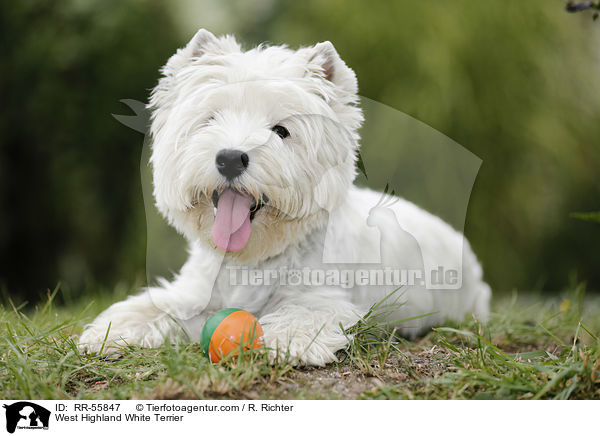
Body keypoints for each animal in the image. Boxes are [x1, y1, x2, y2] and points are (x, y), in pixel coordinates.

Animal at [78, 29, 492, 366]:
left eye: (281, 130)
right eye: (210, 120)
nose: (230, 158)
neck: (252, 258)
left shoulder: (324, 298)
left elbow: (304, 313)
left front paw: (289, 342)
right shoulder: (195, 295)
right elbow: (154, 310)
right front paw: (107, 334)